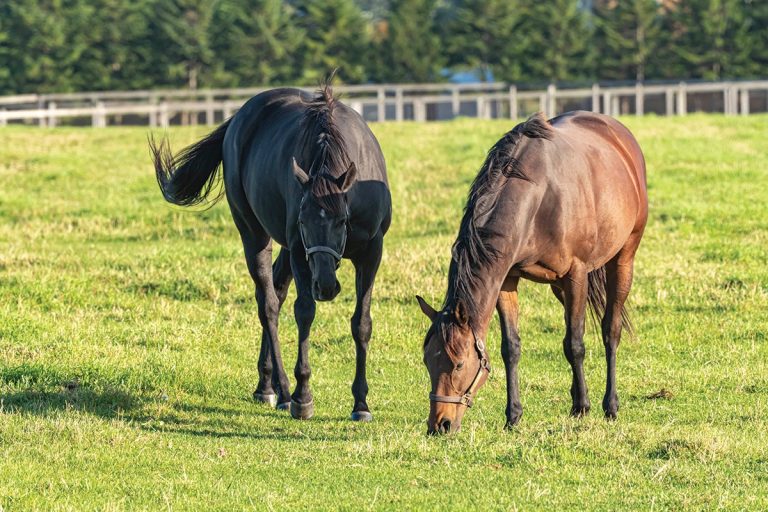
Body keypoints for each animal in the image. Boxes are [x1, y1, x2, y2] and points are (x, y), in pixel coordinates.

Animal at [151, 80, 391, 422]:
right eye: (303, 221)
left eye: (342, 220)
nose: (325, 286)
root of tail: (239, 119)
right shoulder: (301, 252)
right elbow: (304, 312)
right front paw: (303, 395)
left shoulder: (371, 252)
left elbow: (362, 323)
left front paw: (361, 403)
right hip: (255, 235)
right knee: (268, 304)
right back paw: (281, 390)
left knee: (276, 289)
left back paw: (267, 385)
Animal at [417, 111, 647, 434]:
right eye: (428, 361)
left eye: (458, 363)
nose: (440, 424)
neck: (539, 198)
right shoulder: (507, 279)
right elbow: (511, 348)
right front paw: (513, 415)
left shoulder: (576, 274)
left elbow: (575, 344)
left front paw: (582, 407)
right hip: (560, 287)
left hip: (623, 258)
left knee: (610, 329)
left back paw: (609, 405)